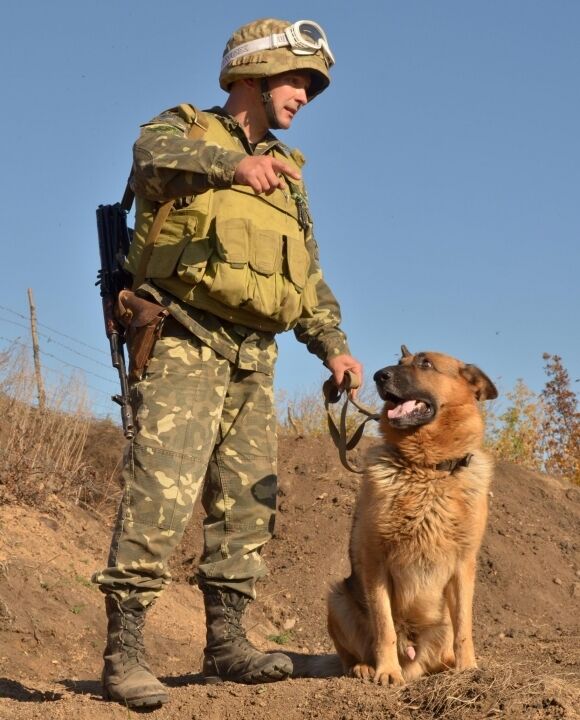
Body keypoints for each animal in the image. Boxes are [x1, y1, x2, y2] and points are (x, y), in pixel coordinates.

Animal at [326, 348, 498, 688]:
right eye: (398, 363)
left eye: (426, 363)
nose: (378, 375)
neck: (428, 470)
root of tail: (414, 658)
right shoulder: (376, 561)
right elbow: (385, 627)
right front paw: (387, 671)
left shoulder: (463, 565)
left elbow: (464, 627)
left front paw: (469, 668)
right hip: (337, 598)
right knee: (352, 654)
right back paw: (366, 667)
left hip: (439, 625)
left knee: (444, 648)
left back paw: (449, 665)